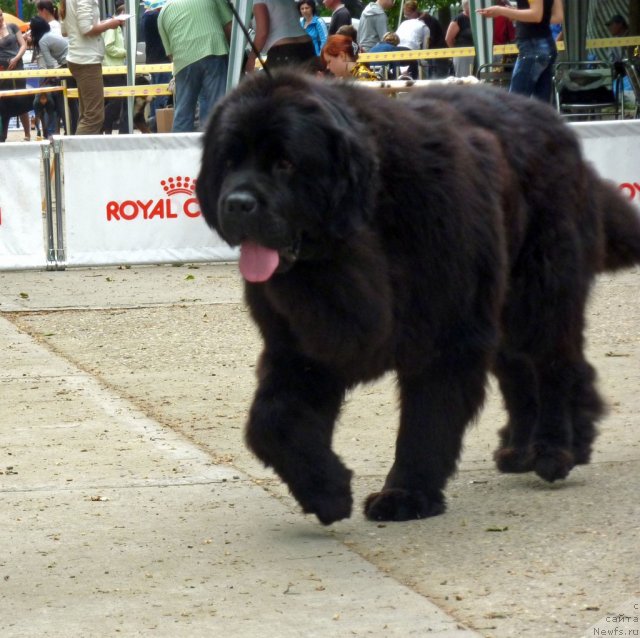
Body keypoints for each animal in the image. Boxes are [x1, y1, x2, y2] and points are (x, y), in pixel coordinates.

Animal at [195, 72, 640, 528]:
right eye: (228, 161)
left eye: (285, 163)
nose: (237, 204)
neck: (361, 235)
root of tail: (556, 123)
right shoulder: (302, 344)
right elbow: (270, 421)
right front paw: (328, 492)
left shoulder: (447, 333)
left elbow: (426, 419)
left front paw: (406, 494)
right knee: (526, 370)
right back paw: (528, 448)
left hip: (539, 293)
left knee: (553, 365)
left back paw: (553, 450)